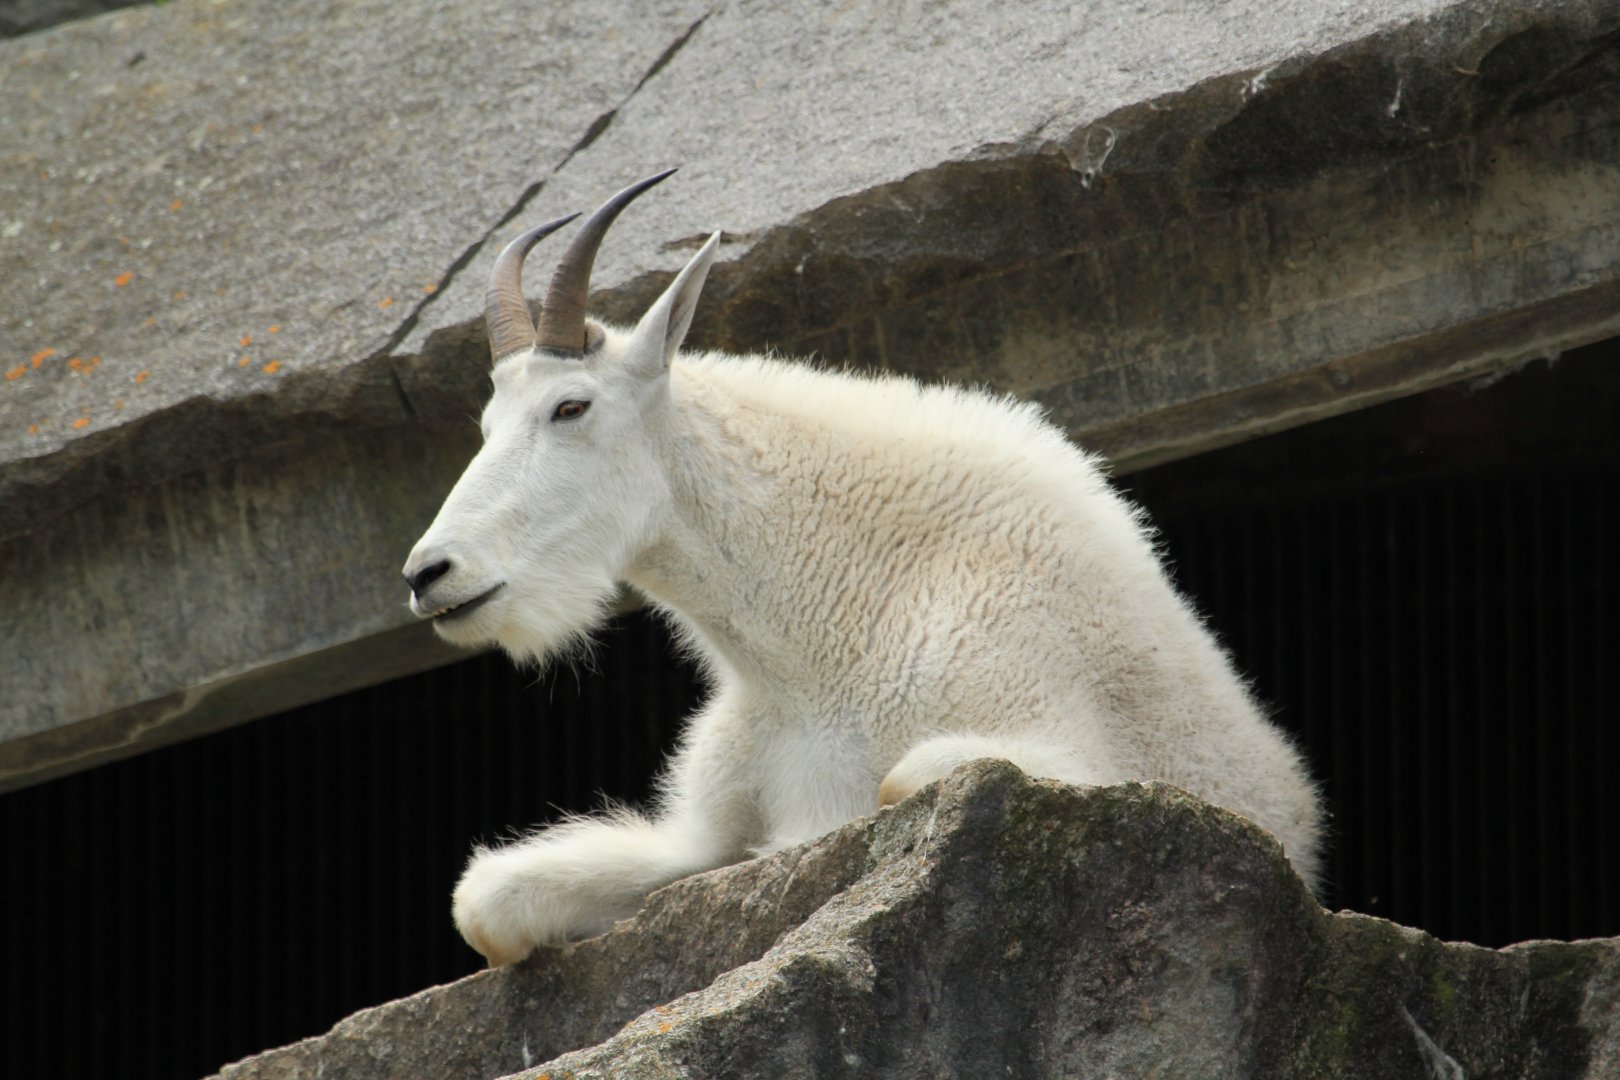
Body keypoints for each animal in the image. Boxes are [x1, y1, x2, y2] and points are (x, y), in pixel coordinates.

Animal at [403, 171, 1323, 966]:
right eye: (486, 424)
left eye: (571, 406)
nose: (428, 573)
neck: (814, 647)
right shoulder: (702, 838)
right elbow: (486, 905)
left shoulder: (1060, 737)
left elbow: (895, 782)